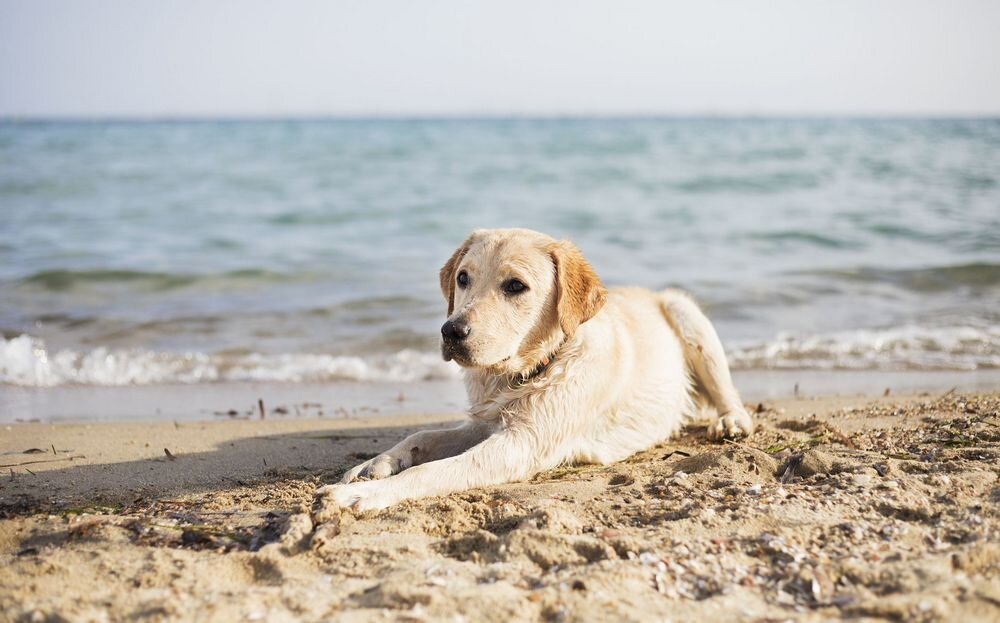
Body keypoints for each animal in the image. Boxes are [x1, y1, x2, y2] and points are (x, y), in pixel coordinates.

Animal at [316, 229, 752, 512]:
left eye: (515, 286)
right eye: (463, 277)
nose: (451, 331)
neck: (531, 369)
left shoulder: (522, 443)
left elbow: (432, 472)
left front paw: (363, 496)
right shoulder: (485, 423)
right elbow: (421, 436)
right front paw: (374, 466)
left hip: (686, 314)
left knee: (730, 395)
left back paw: (731, 422)